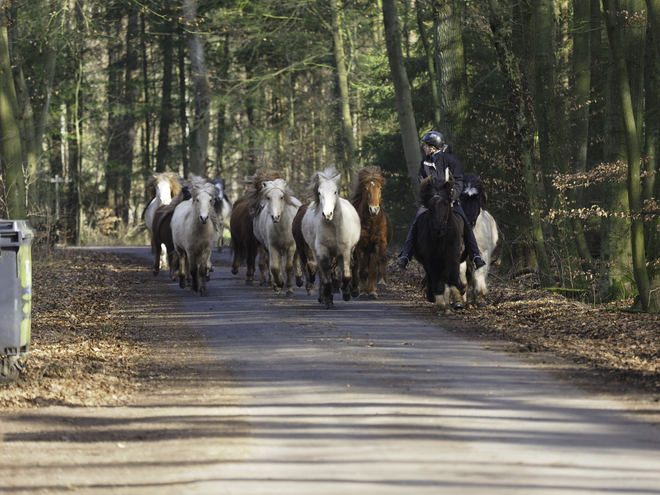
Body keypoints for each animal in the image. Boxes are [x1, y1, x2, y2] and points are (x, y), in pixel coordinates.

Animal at [300, 167, 358, 308]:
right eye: (319, 193)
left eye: (335, 191)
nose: (327, 214)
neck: (333, 228)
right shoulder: (322, 249)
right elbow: (325, 273)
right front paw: (328, 298)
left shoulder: (345, 250)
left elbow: (346, 274)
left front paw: (346, 294)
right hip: (317, 252)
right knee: (322, 272)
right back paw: (324, 297)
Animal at [350, 167, 392, 300]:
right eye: (365, 188)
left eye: (380, 188)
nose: (374, 210)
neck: (371, 222)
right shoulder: (361, 247)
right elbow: (363, 270)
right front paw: (363, 292)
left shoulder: (377, 245)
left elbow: (373, 269)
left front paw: (373, 291)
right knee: (355, 266)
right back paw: (355, 290)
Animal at [412, 170, 464, 316]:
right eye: (430, 205)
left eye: (446, 204)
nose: (438, 228)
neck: (442, 239)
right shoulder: (432, 259)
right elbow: (437, 281)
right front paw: (441, 306)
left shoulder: (453, 256)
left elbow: (453, 277)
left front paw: (458, 300)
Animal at [462, 172, 498, 308]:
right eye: (461, 198)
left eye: (477, 198)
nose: (469, 222)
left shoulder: (482, 253)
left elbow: (479, 273)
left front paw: (481, 299)